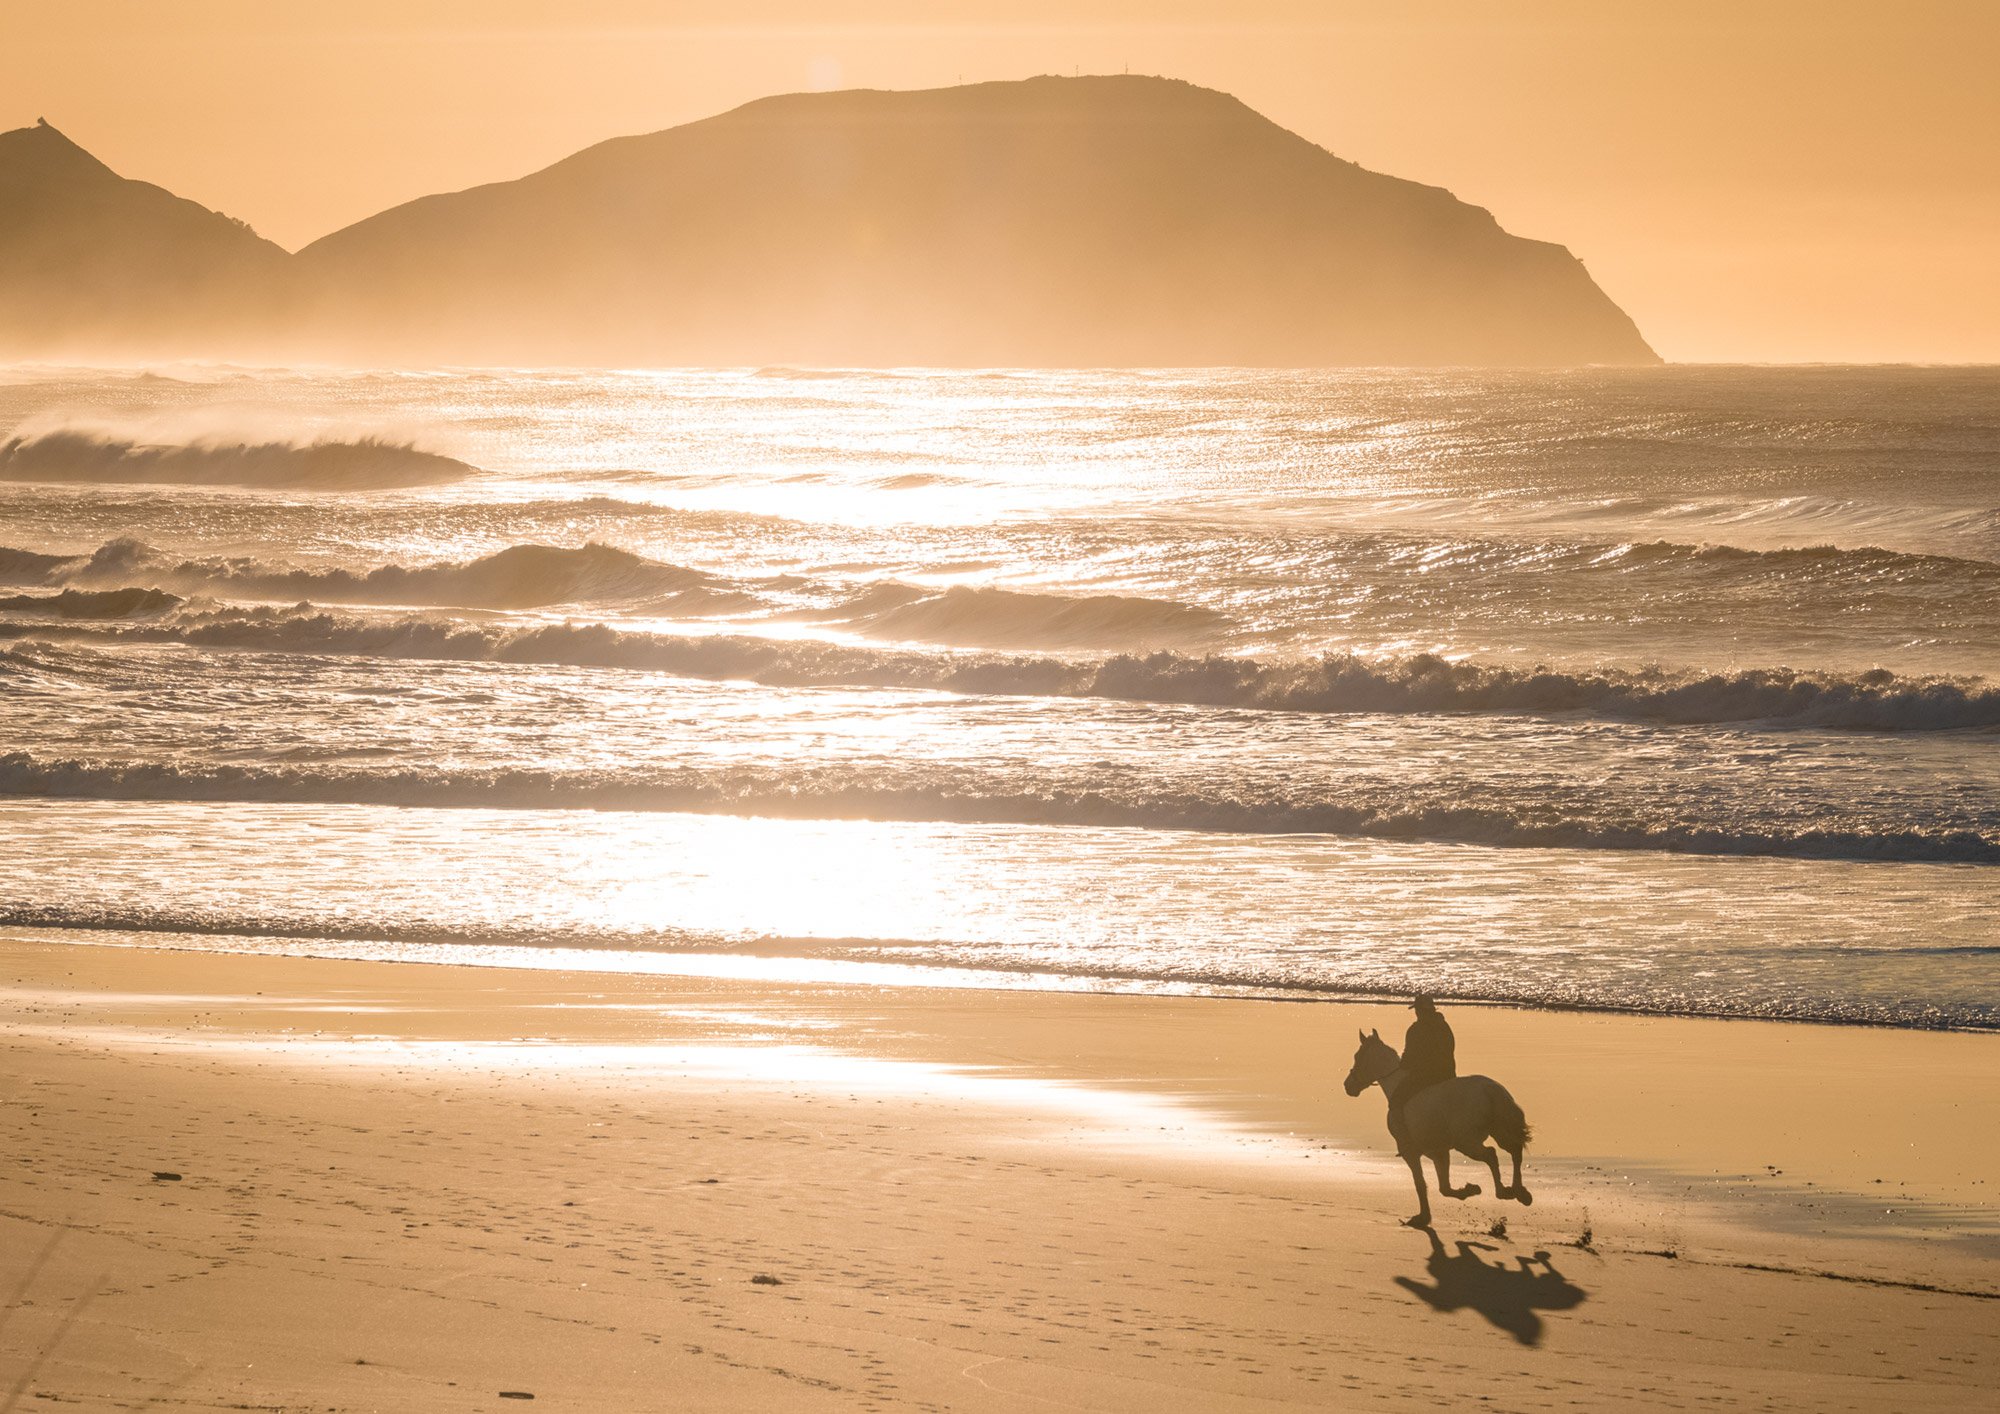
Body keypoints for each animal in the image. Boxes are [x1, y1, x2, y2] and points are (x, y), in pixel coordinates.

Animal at [1344, 1032, 1528, 1224]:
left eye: (1357, 1057)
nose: (1348, 1086)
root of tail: (1490, 1089)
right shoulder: (1439, 1152)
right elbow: (1444, 1188)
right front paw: (1470, 1190)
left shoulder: (1411, 1152)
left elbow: (1420, 1183)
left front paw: (1423, 1216)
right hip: (1500, 1132)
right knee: (1515, 1150)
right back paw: (1520, 1192)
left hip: (1467, 1142)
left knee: (1491, 1154)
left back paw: (1504, 1192)